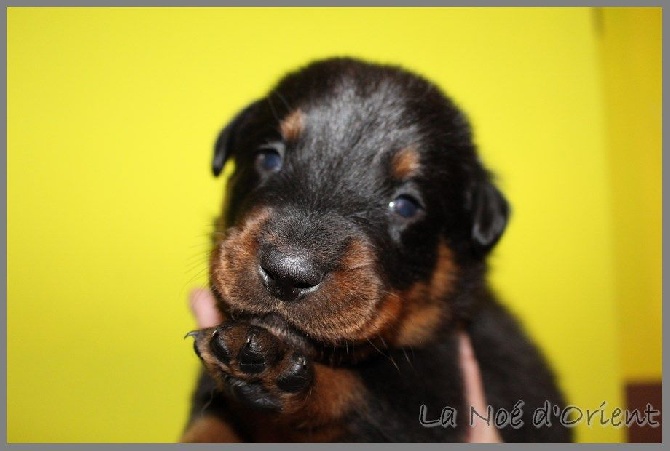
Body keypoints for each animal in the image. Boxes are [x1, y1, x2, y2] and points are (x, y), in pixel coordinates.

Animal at [182, 57, 572, 444]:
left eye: (406, 205)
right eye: (268, 158)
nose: (287, 274)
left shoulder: (437, 386)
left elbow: (355, 389)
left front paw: (267, 364)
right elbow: (209, 424)